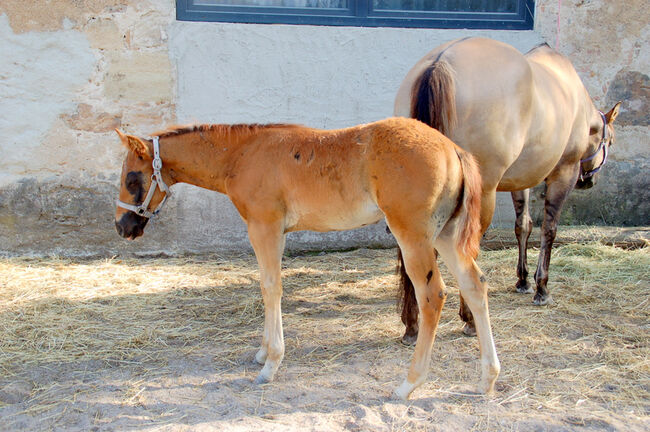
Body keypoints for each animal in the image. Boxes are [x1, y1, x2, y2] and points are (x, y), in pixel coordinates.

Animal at [112, 116, 496, 400]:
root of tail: (453, 149)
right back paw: (487, 379)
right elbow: (268, 287)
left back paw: (408, 384)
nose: (122, 226)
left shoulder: (263, 227)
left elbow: (271, 287)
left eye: (132, 177)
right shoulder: (277, 232)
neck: (241, 155)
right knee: (475, 286)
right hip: (445, 234)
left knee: (432, 295)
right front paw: (262, 353)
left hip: (414, 236)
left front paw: (270, 365)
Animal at [392, 38, 620, 340]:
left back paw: (412, 322)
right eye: (610, 141)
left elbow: (523, 225)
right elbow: (549, 229)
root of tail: (439, 64)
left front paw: (522, 280)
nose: (588, 181)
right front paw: (541, 287)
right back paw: (469, 318)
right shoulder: (564, 174)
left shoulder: (520, 181)